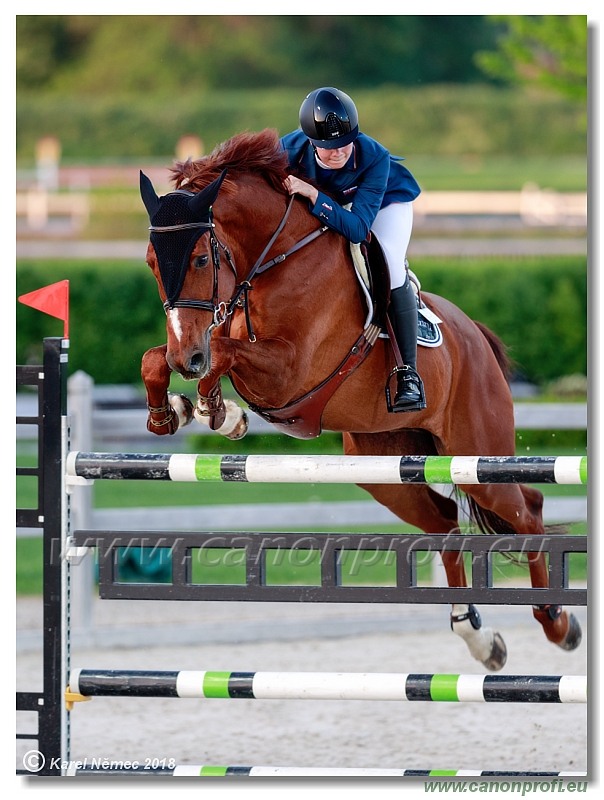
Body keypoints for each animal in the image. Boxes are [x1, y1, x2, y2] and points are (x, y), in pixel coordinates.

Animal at [137, 130, 580, 668]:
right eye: (151, 263)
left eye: (201, 259)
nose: (188, 358)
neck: (274, 259)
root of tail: (475, 336)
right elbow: (155, 359)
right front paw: (175, 412)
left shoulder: (289, 374)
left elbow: (224, 354)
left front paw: (217, 412)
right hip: (382, 465)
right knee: (445, 521)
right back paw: (479, 638)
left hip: (476, 452)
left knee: (528, 508)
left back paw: (558, 623)